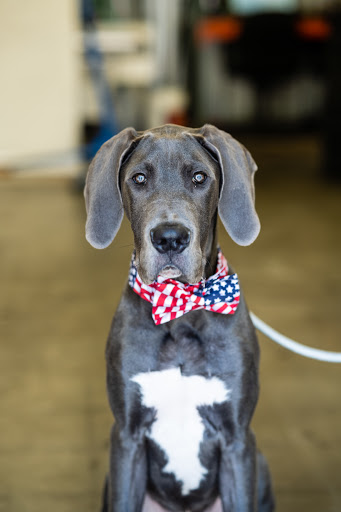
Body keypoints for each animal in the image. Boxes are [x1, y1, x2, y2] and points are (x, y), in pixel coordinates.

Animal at [84, 125, 274, 512]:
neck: (179, 313)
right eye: (139, 178)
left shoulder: (237, 439)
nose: (170, 238)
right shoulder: (126, 438)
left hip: (260, 464)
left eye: (199, 178)